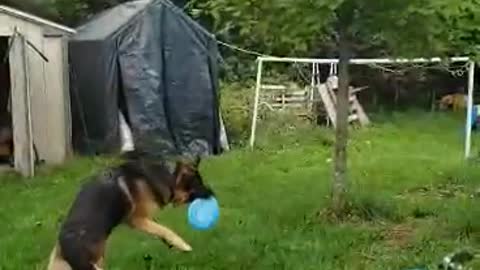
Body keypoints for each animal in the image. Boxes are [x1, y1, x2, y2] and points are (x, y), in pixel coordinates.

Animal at [46, 152, 214, 270]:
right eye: (198, 185)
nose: (213, 194)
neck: (168, 175)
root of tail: (65, 245)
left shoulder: (145, 219)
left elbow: (159, 229)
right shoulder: (138, 219)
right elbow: (166, 230)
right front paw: (183, 244)